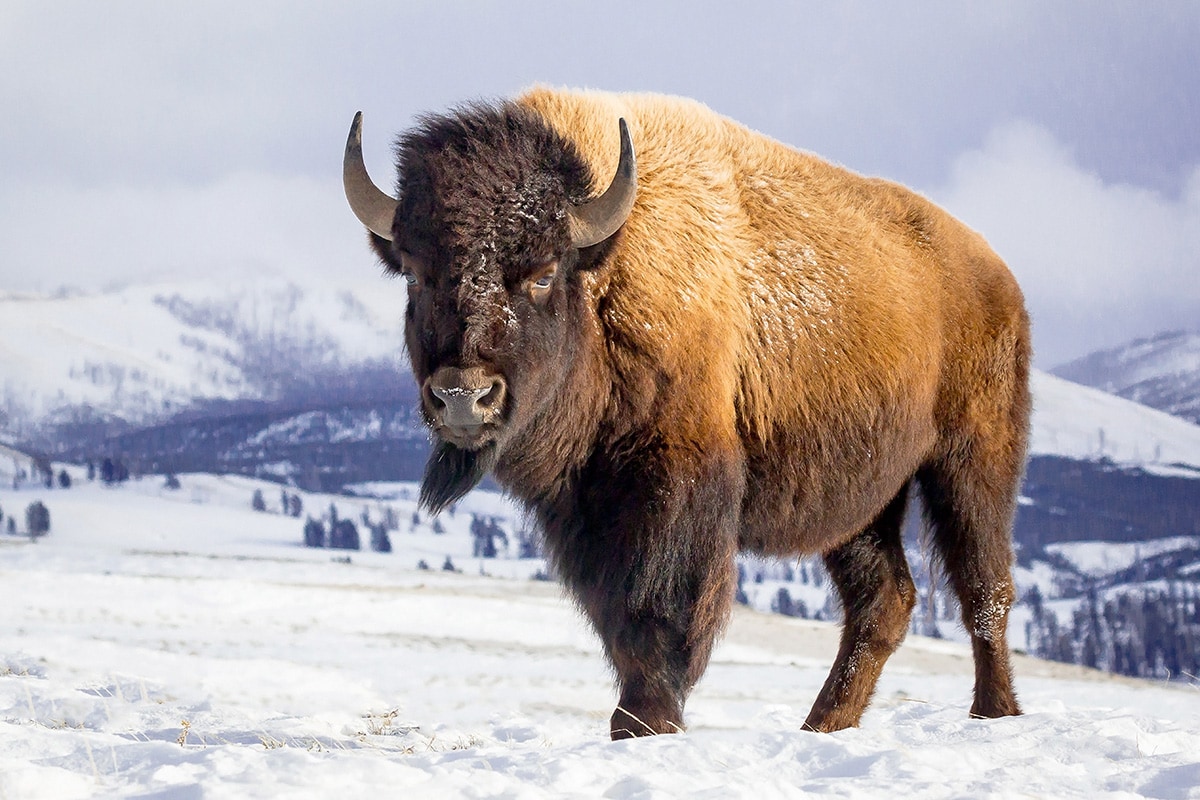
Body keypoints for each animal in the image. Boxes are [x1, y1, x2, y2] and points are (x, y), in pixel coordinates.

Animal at [340, 86, 1032, 738]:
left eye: (540, 273)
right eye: (416, 274)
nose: (463, 395)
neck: (604, 271)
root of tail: (998, 276)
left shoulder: (674, 485)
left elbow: (658, 611)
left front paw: (642, 724)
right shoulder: (585, 509)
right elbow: (617, 618)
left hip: (970, 464)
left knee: (984, 590)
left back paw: (993, 714)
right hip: (862, 502)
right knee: (884, 600)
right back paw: (823, 724)